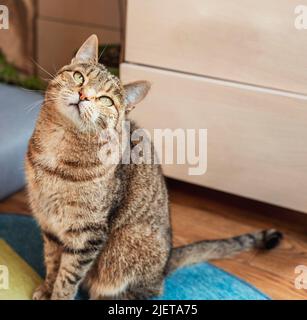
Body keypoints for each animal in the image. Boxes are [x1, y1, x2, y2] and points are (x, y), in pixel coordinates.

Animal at [25, 35, 282, 300]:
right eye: (79, 77)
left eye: (106, 100)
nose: (83, 94)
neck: (59, 146)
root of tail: (165, 265)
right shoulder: (49, 225)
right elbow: (52, 263)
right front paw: (46, 289)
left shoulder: (87, 235)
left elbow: (67, 278)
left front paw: (57, 295)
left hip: (123, 251)